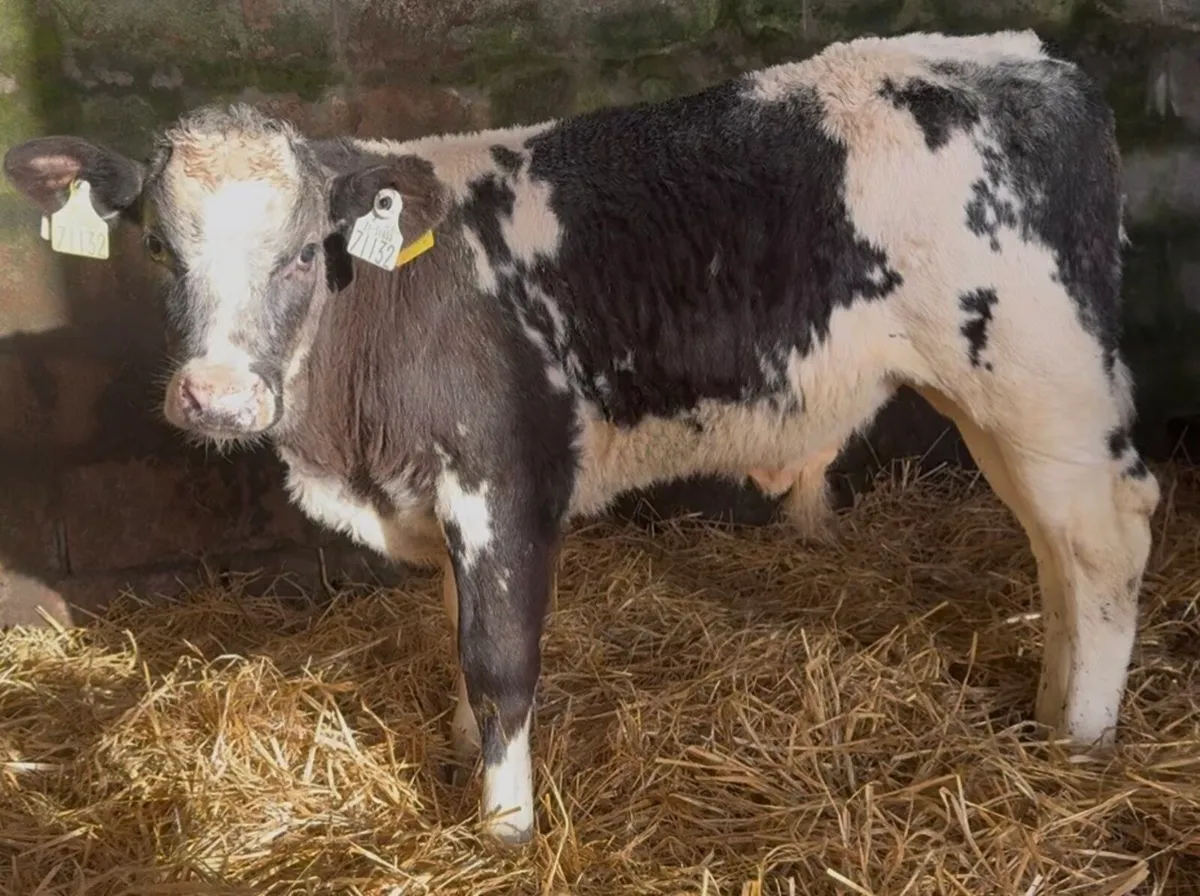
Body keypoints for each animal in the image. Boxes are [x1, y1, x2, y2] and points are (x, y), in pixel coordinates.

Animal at [3, 28, 1161, 848]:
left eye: (298, 253)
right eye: (159, 247)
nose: (215, 397)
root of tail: (1027, 58)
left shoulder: (504, 479)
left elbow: (498, 657)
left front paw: (506, 826)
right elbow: (455, 630)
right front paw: (462, 757)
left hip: (1043, 378)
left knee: (1107, 537)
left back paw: (1081, 738)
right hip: (1003, 403)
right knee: (1056, 549)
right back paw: (1050, 707)